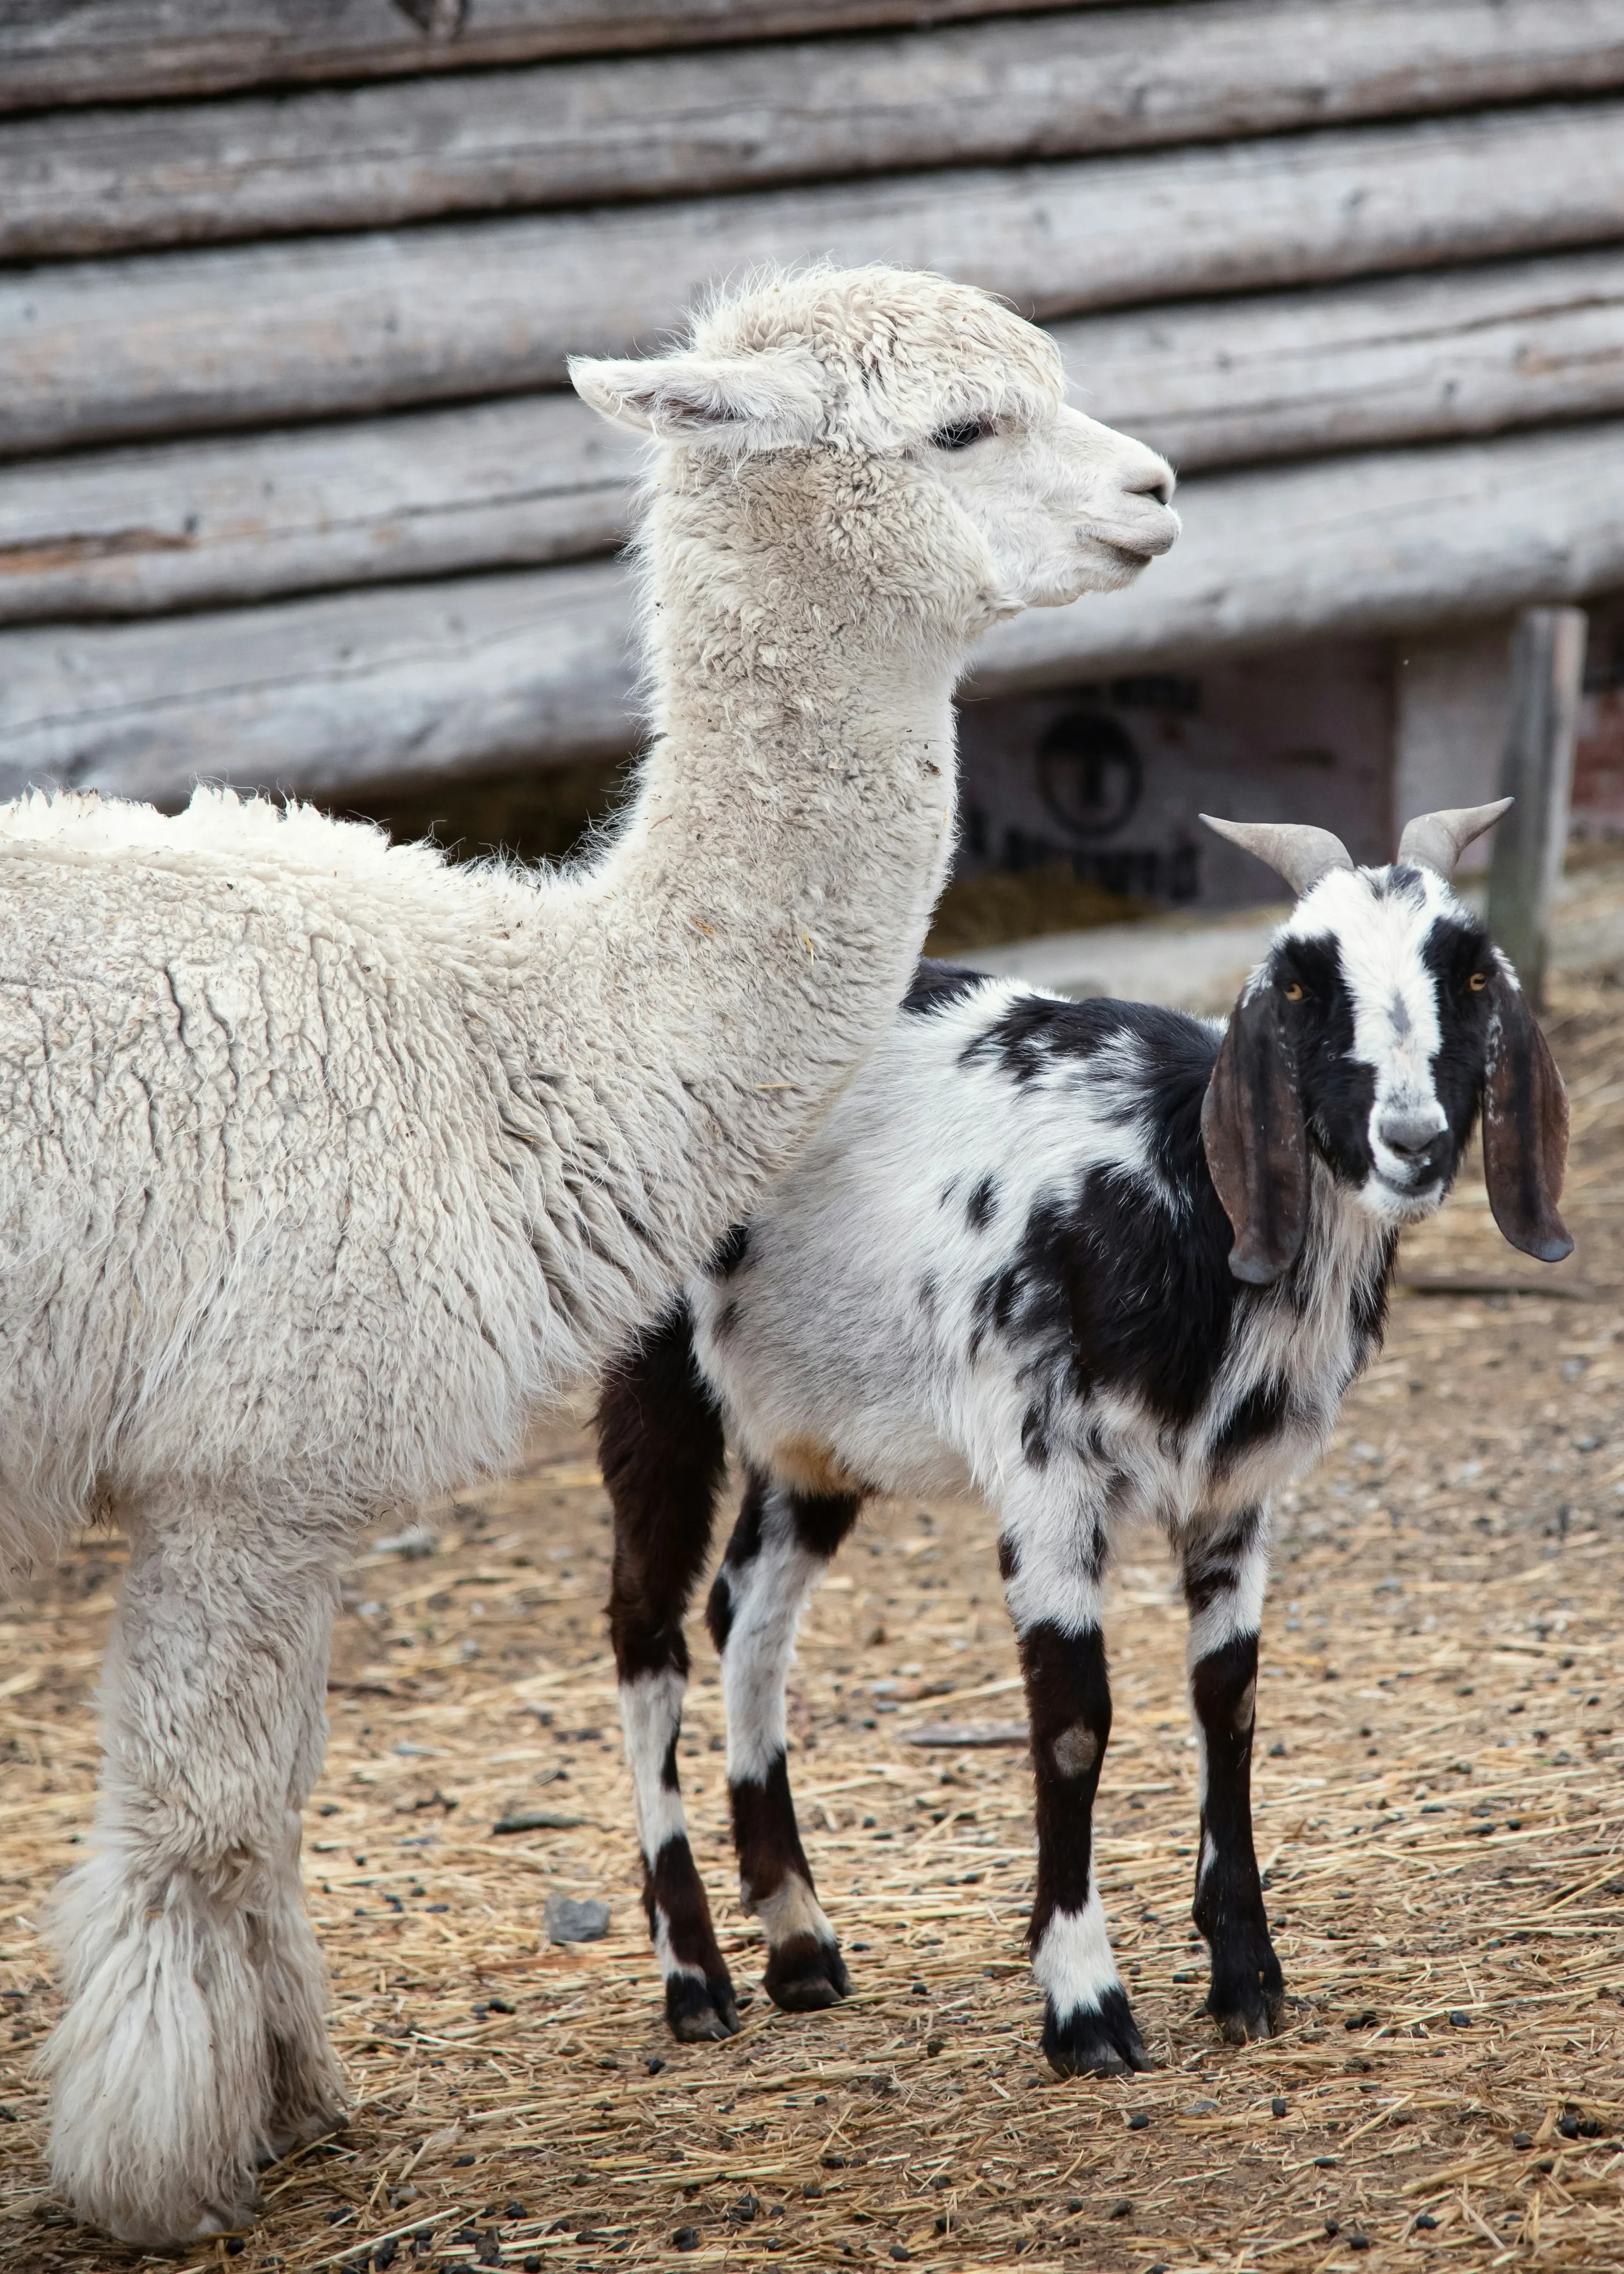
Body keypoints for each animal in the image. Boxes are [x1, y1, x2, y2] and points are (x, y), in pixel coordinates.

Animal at [598, 804, 1571, 2073]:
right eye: (1301, 984)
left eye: (1466, 970)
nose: (1411, 1138)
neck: (1168, 1191)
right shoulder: (1043, 1478)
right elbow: (1071, 1721)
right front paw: (1083, 2004)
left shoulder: (1232, 1495)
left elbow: (1227, 1706)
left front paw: (1246, 1976)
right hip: (654, 1376)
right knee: (646, 1635)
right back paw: (692, 1973)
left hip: (811, 1427)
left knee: (747, 1616)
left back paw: (799, 1940)